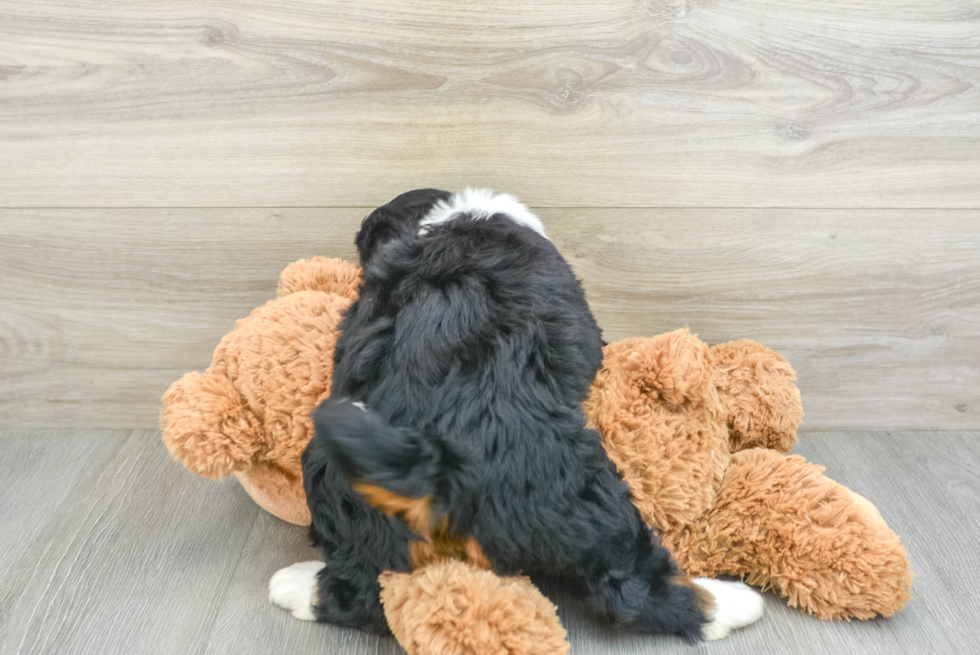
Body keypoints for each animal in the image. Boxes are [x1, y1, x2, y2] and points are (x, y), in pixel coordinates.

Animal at [270, 187, 764, 644]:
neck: (448, 222)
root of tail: (433, 466)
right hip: (583, 496)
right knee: (634, 590)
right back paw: (732, 603)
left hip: (345, 494)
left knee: (358, 593)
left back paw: (292, 586)